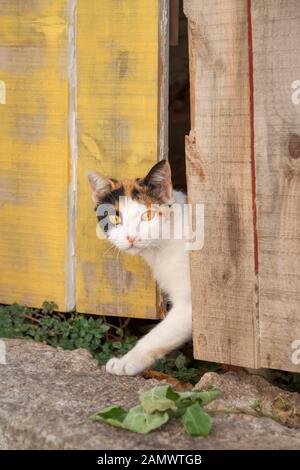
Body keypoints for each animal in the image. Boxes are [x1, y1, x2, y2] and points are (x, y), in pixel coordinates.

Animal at [86, 160, 192, 376]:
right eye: (115, 219)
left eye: (148, 215)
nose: (131, 237)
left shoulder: (190, 305)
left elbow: (156, 336)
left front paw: (125, 362)